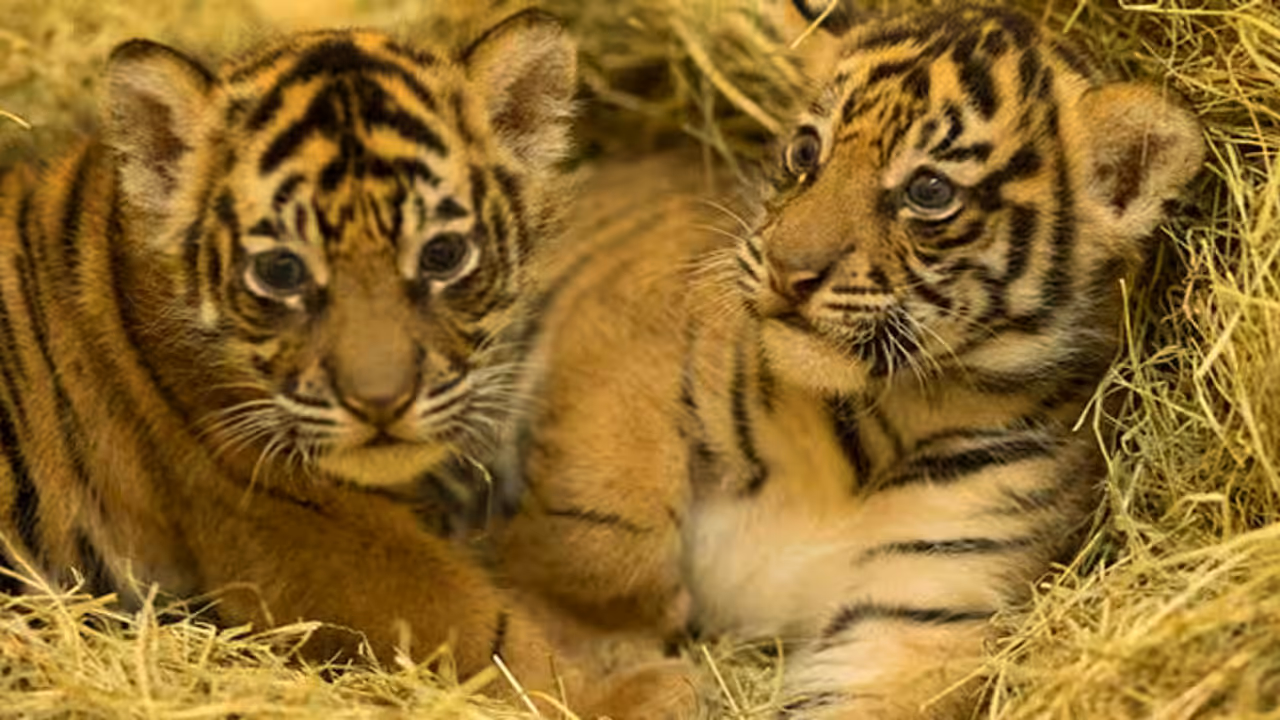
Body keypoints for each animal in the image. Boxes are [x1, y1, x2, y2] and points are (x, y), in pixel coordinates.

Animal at [0, 9, 691, 715]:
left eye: (442, 255)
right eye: (281, 270)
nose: (380, 403)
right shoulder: (303, 531)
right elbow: (484, 632)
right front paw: (640, 692)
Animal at [494, 1, 1205, 717]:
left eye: (928, 189)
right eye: (808, 152)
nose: (788, 272)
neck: (874, 427)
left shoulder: (919, 611)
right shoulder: (633, 341)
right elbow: (604, 522)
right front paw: (615, 638)